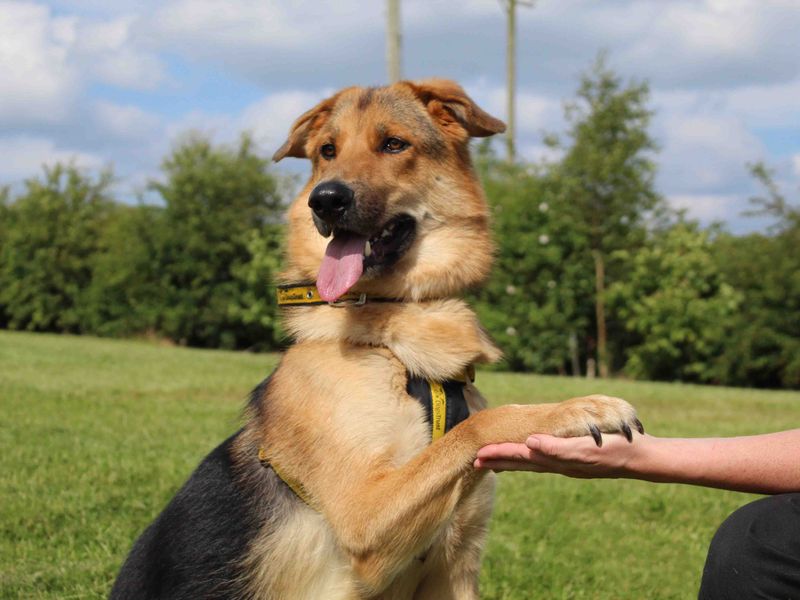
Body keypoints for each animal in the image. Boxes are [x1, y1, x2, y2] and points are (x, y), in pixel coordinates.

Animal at [109, 81, 640, 600]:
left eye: (393, 144)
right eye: (327, 151)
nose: (324, 200)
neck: (397, 342)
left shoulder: (455, 566)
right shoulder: (364, 515)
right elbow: (476, 425)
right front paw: (577, 409)